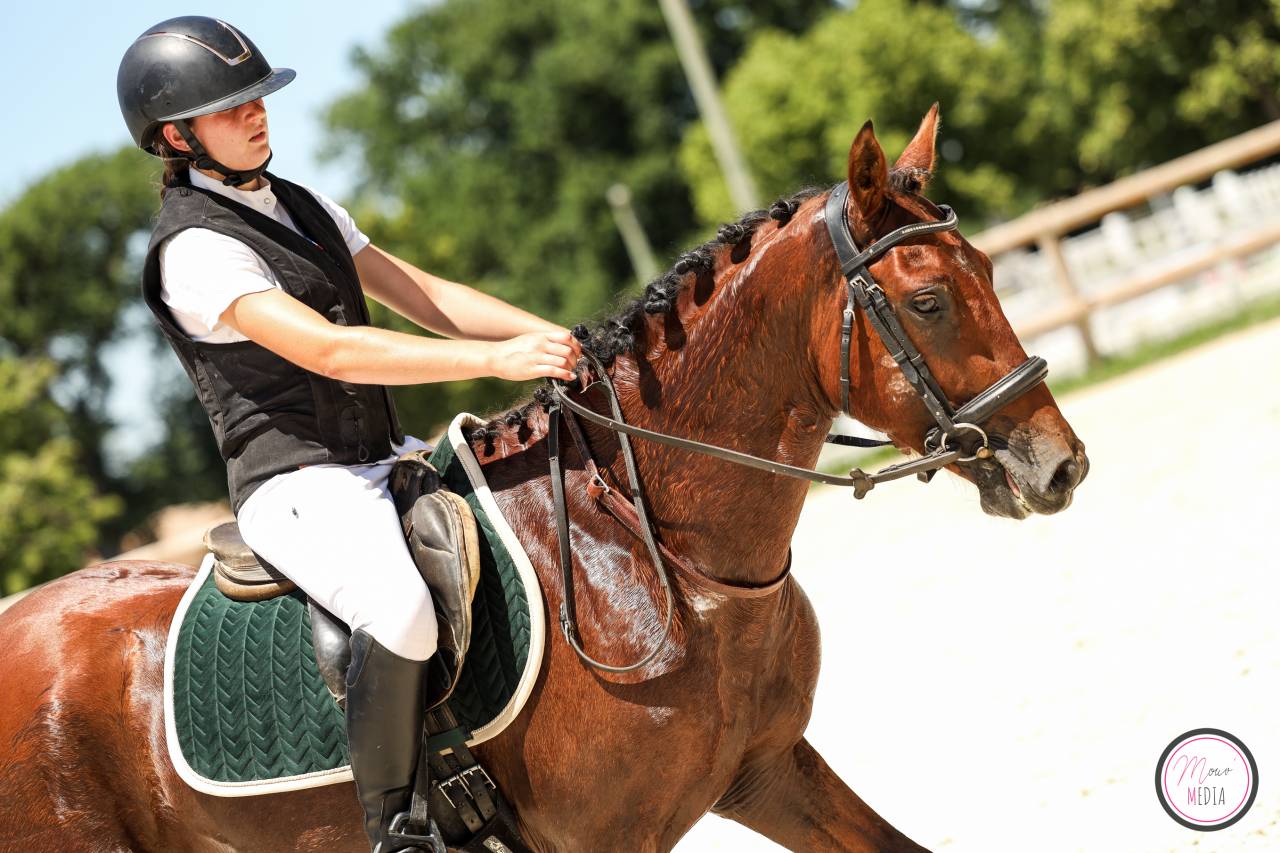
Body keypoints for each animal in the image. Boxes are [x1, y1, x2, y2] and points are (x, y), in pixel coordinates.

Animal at [0, 108, 1087, 852]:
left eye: (991, 271)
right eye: (931, 299)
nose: (1058, 464)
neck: (658, 549)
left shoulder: (767, 770)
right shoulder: (607, 837)